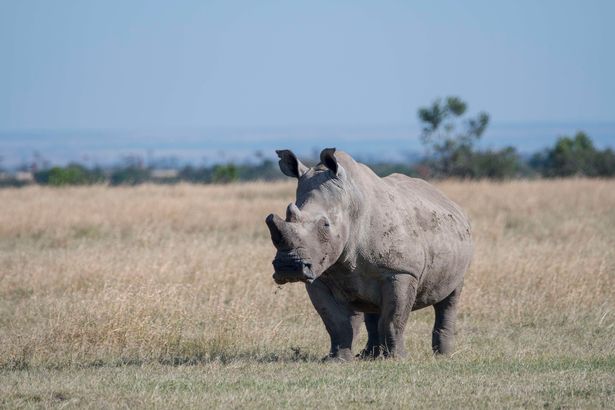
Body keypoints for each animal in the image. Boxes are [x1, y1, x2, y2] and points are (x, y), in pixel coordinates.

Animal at [268, 149, 474, 360]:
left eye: (325, 225)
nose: (288, 266)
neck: (351, 207)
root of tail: (448, 201)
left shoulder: (401, 271)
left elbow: (393, 320)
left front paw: (397, 359)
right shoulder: (319, 275)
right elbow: (336, 322)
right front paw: (337, 360)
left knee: (450, 297)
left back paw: (443, 355)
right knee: (370, 307)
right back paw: (369, 356)